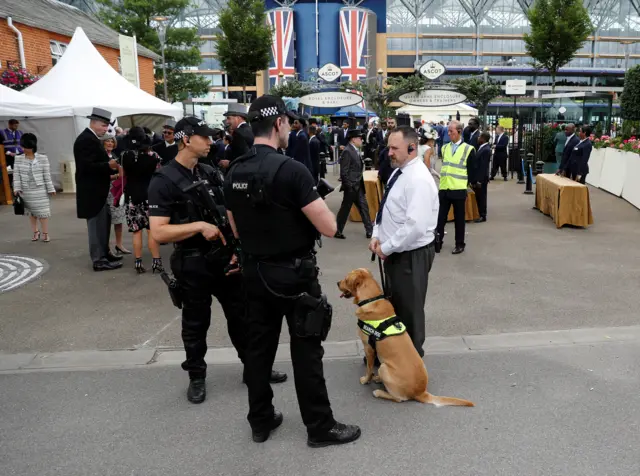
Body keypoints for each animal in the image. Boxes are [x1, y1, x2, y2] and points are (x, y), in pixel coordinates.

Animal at [338, 270, 472, 408]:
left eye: (346, 279)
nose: (337, 283)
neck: (371, 299)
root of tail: (421, 392)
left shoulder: (368, 348)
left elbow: (369, 370)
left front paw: (365, 380)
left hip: (384, 368)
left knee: (398, 398)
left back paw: (379, 391)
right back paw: (378, 379)